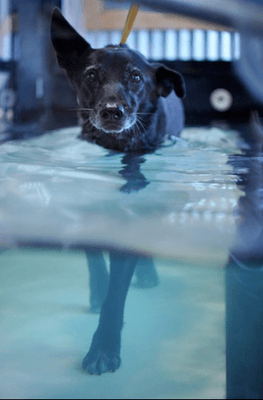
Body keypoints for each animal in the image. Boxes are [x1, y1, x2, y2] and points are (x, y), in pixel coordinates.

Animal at [50, 7, 186, 376]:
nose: (113, 111)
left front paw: (103, 348)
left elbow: (118, 290)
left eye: (136, 78)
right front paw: (97, 291)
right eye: (91, 75)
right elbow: (94, 253)